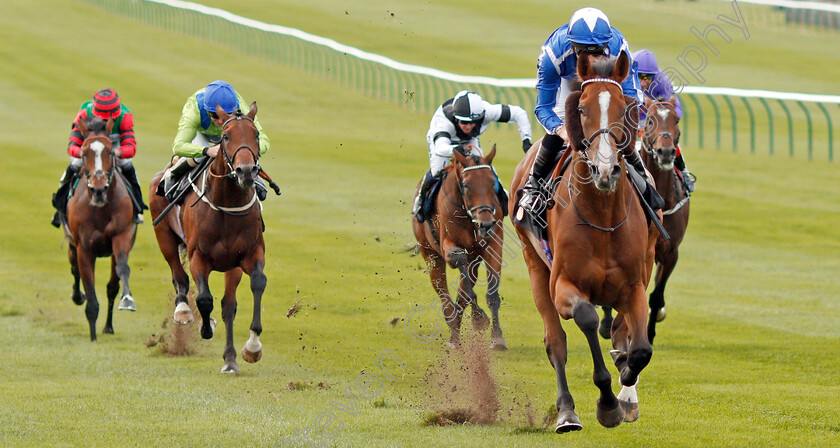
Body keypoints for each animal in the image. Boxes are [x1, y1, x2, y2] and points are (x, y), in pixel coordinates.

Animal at [65, 115, 138, 340]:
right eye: (84, 153)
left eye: (111, 152)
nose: (98, 189)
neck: (100, 208)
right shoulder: (84, 248)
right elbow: (88, 287)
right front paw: (92, 336)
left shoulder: (121, 237)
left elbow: (122, 270)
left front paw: (127, 300)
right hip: (71, 244)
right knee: (74, 269)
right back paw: (77, 296)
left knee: (111, 286)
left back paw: (108, 326)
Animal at [151, 103, 266, 372]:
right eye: (226, 137)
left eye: (255, 135)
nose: (246, 171)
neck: (227, 203)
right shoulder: (198, 257)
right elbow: (203, 299)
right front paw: (205, 327)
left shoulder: (249, 254)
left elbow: (257, 283)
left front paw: (252, 347)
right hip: (165, 238)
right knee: (179, 276)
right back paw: (183, 311)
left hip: (231, 266)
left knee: (228, 305)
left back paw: (230, 359)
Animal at [412, 146, 508, 350]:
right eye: (466, 185)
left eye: (491, 182)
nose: (485, 224)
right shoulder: (448, 246)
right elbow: (458, 260)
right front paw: (479, 317)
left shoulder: (493, 245)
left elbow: (491, 293)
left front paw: (497, 336)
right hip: (430, 254)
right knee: (443, 292)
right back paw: (453, 333)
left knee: (464, 287)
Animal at [508, 50, 660, 432]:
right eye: (581, 109)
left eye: (626, 107)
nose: (605, 170)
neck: (602, 217)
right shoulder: (563, 284)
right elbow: (587, 318)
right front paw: (606, 404)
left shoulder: (634, 285)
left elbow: (641, 349)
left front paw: (625, 389)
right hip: (534, 264)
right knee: (555, 343)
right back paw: (567, 412)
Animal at [600, 100, 692, 344]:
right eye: (650, 120)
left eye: (676, 120)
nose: (666, 152)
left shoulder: (671, 253)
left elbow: (656, 297)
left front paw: (648, 335)